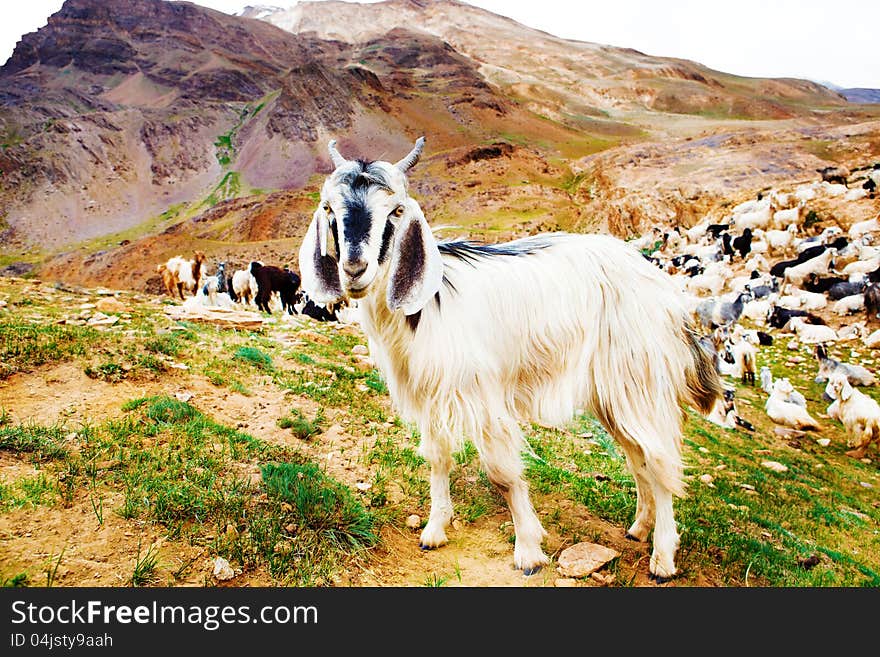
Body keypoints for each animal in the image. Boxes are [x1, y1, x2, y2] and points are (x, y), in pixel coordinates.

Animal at [296, 137, 720, 580]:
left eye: (395, 210)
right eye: (329, 208)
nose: (354, 269)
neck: (427, 303)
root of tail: (667, 292)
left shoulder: (481, 394)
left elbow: (502, 472)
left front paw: (529, 551)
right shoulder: (430, 394)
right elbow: (437, 458)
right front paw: (434, 530)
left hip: (639, 379)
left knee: (658, 459)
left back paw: (663, 557)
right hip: (612, 391)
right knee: (638, 457)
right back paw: (639, 528)